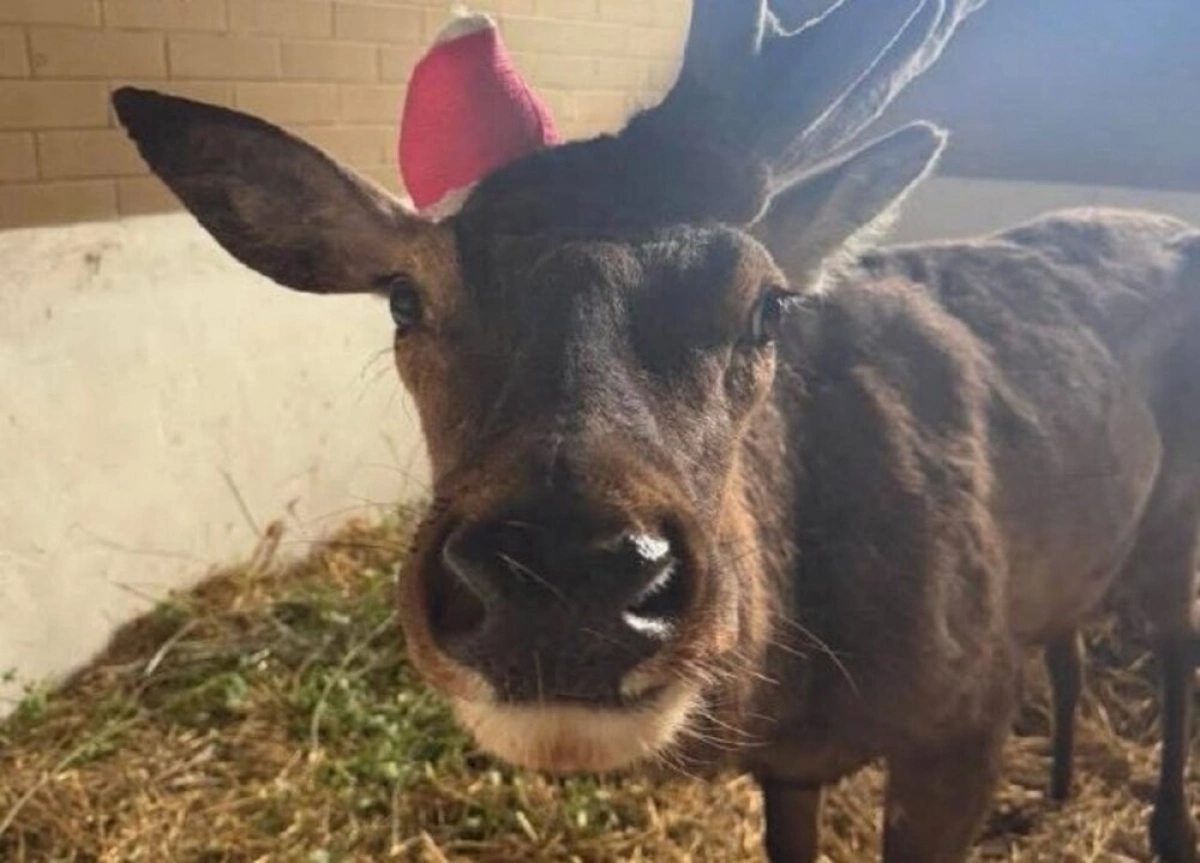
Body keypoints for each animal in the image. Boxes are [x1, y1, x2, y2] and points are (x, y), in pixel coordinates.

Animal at [110, 1, 1200, 860]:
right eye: (406, 300)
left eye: (767, 304)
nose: (561, 577)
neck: (806, 674)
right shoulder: (785, 764)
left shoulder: (964, 712)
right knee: (1071, 644)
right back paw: (1054, 789)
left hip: (1175, 524)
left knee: (1177, 648)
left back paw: (1164, 826)